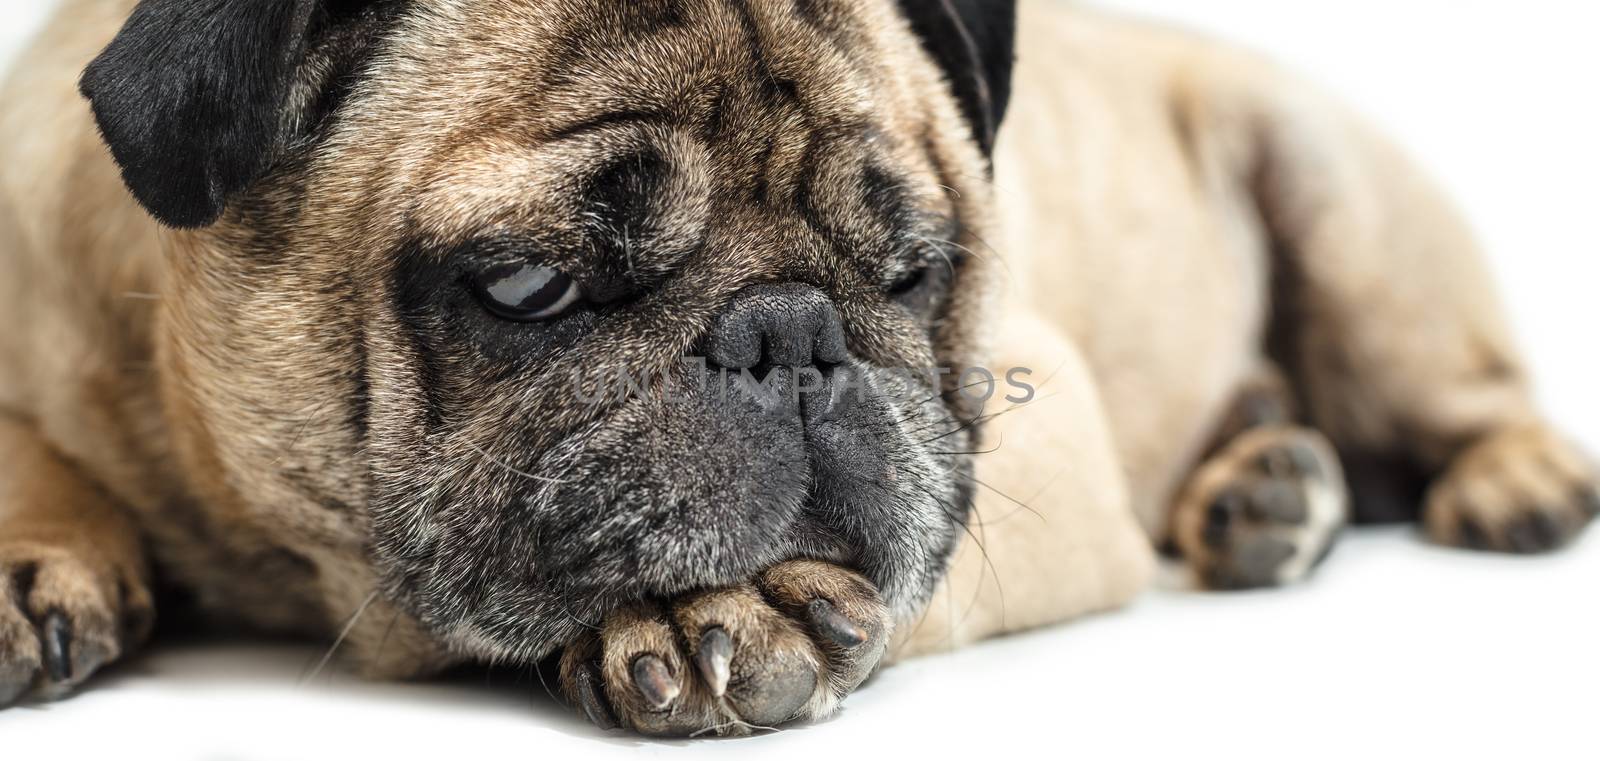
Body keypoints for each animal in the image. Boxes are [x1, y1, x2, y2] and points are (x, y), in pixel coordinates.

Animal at [3, 0, 1600, 738]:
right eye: (529, 285)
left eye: (913, 273)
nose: (792, 333)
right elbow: (31, 450)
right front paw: (33, 567)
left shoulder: (1035, 430)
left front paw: (729, 607)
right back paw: (1266, 486)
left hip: (1341, 201)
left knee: (1460, 386)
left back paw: (1494, 478)